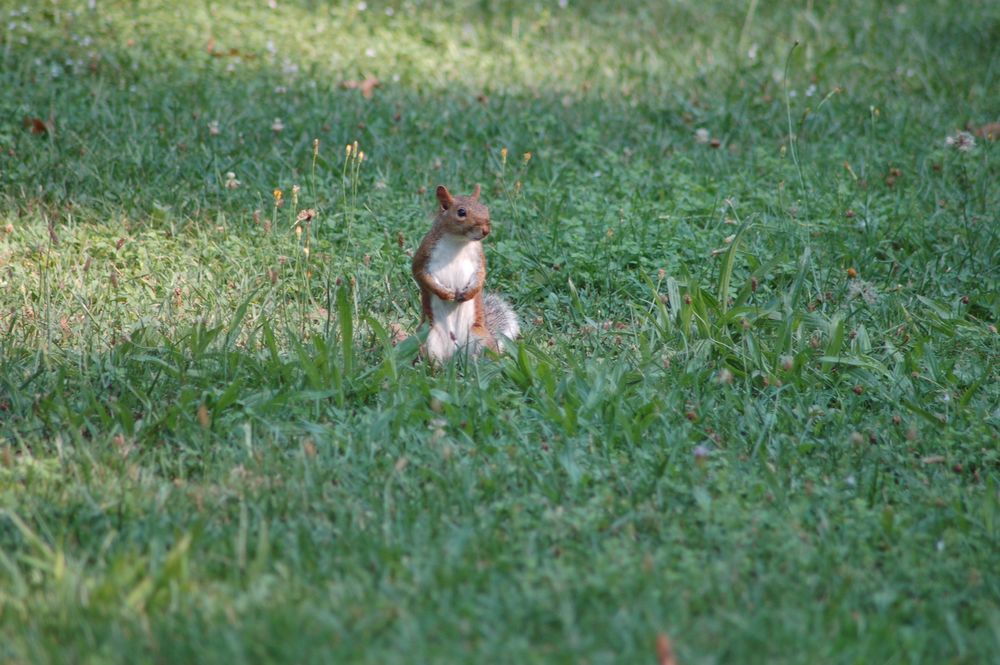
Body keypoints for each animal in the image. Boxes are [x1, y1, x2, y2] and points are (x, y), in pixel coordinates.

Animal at [411, 184, 520, 362]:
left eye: (485, 208)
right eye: (461, 212)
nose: (486, 230)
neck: (458, 242)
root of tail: (454, 355)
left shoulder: (479, 258)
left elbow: (481, 276)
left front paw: (470, 293)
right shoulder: (423, 256)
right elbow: (422, 276)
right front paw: (445, 294)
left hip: (480, 338)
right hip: (428, 339)